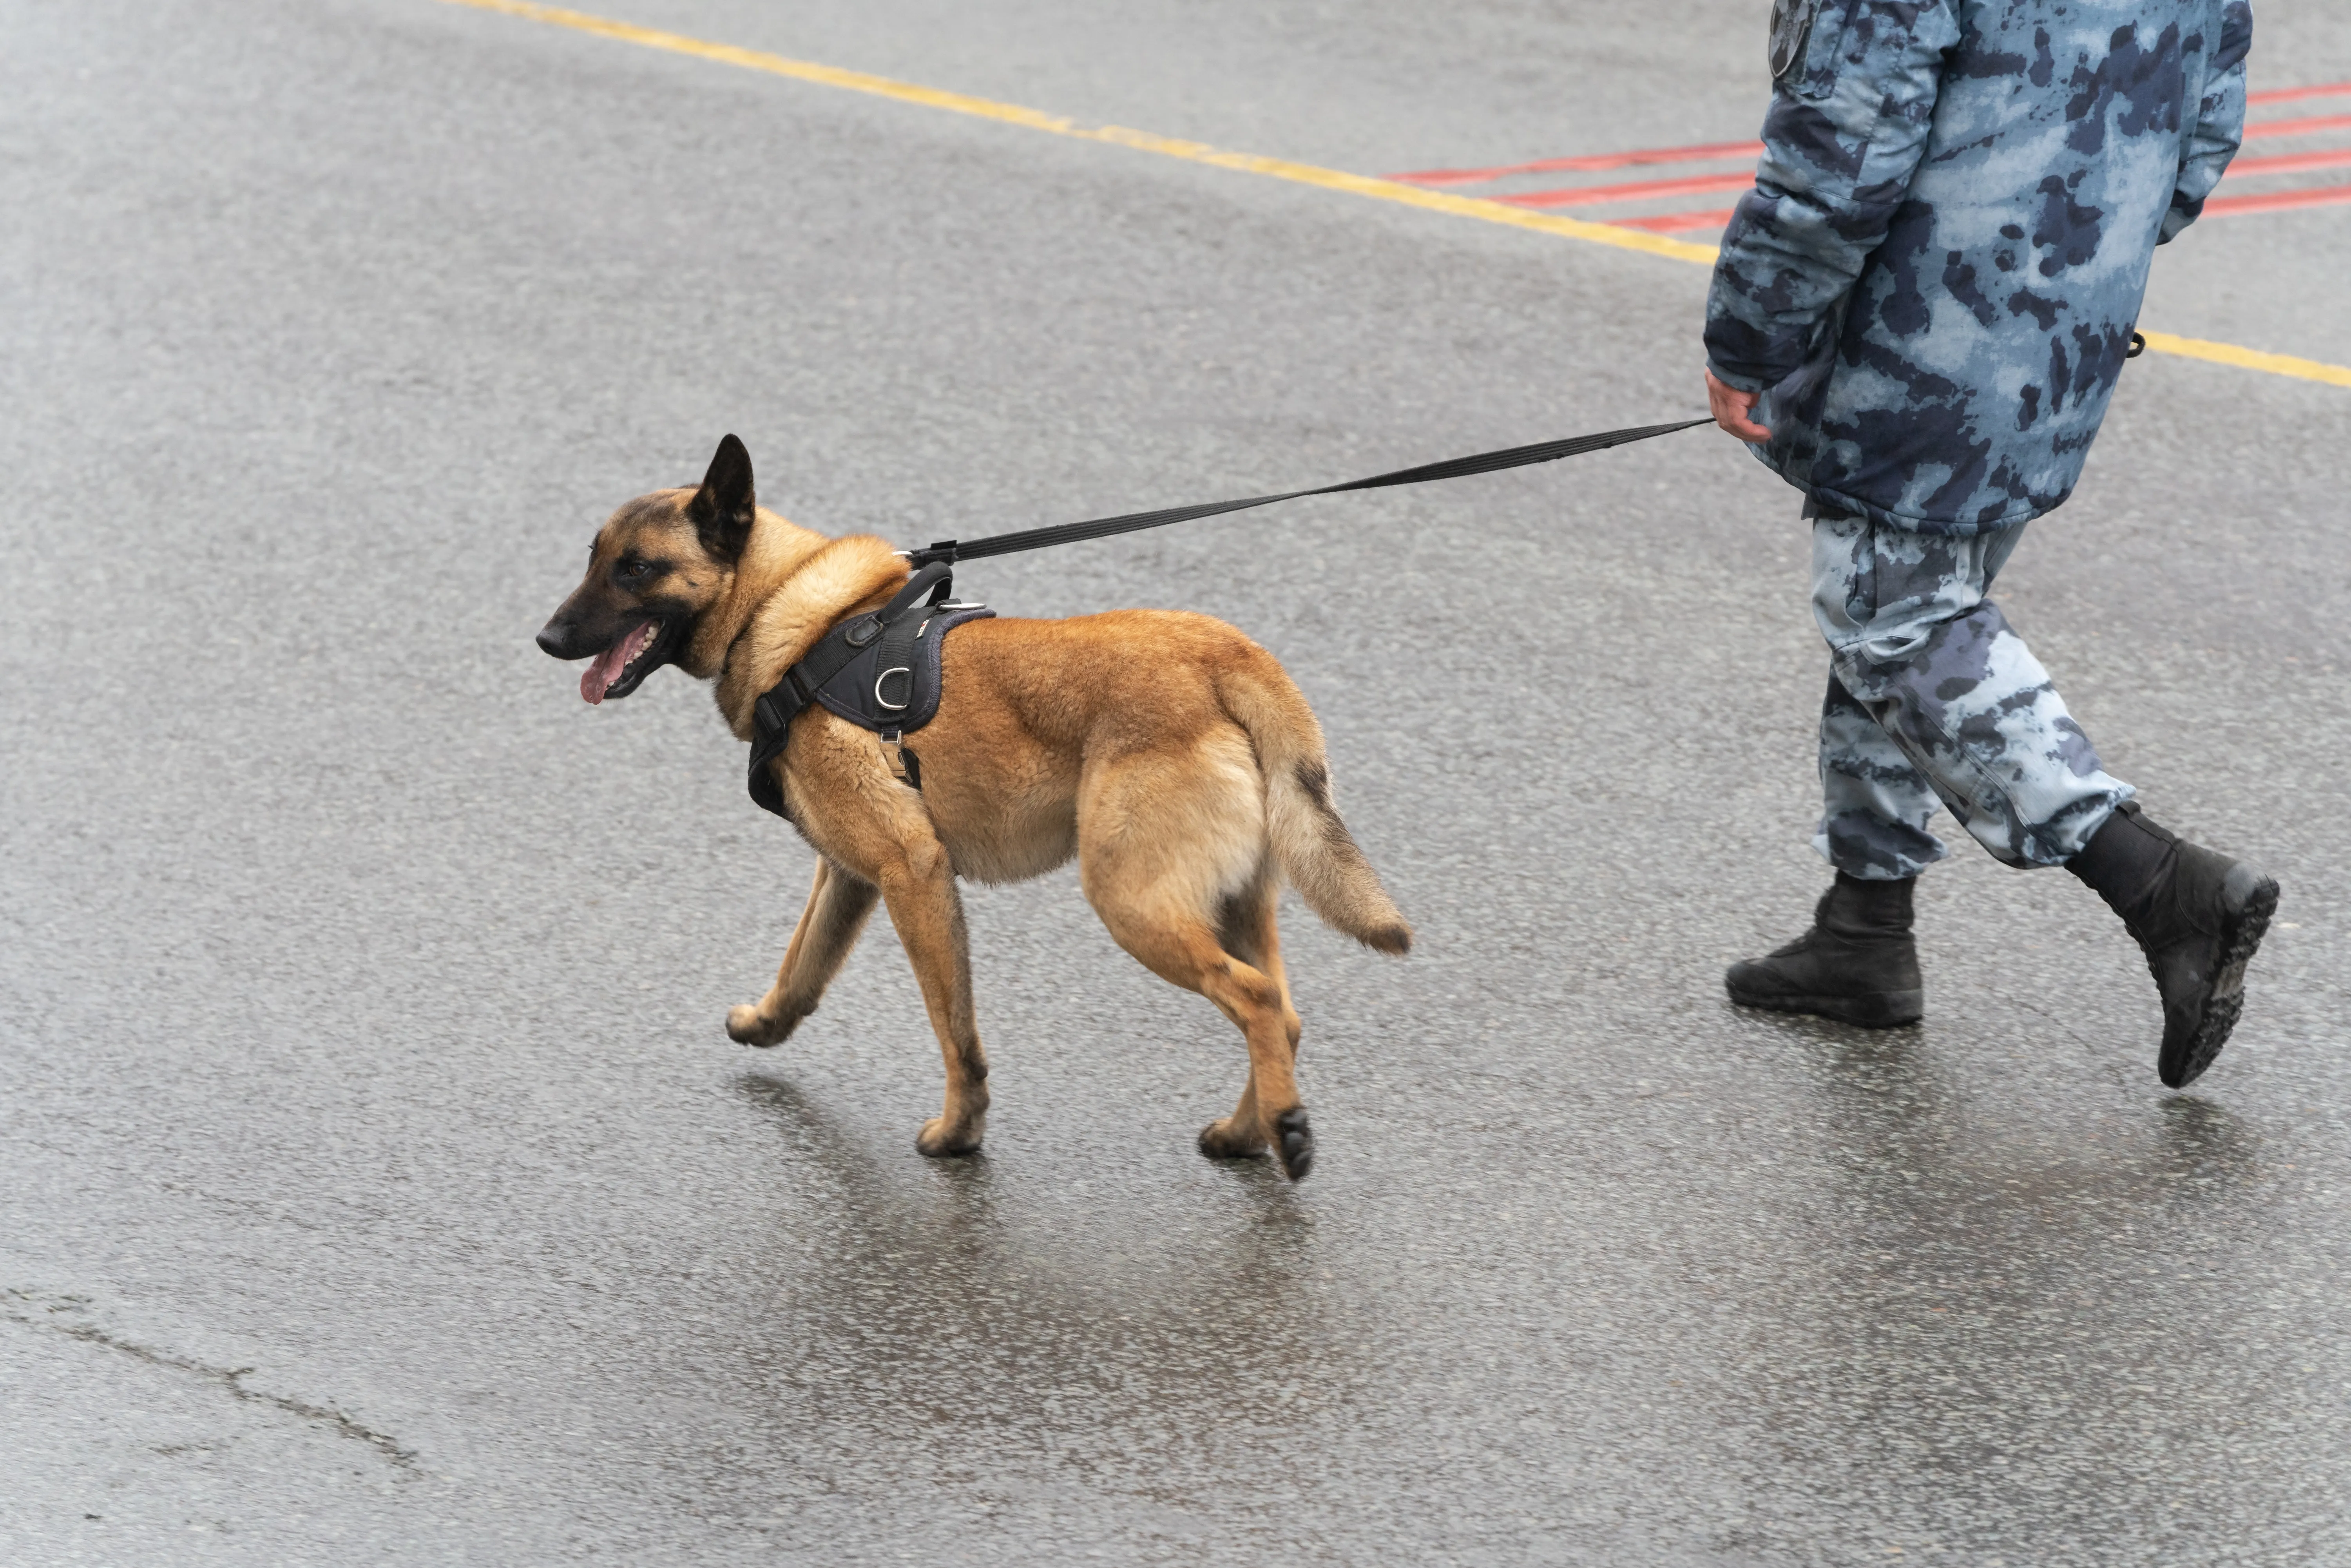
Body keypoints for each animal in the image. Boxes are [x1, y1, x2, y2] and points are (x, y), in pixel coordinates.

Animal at [538, 435, 1411, 1171]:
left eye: (637, 569)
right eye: (594, 558)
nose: (546, 639)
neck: (793, 616)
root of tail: (1226, 654)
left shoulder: (913, 873)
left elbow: (955, 1031)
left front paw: (960, 1134)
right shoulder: (851, 876)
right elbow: (803, 967)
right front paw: (764, 1022)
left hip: (1132, 903)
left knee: (1256, 999)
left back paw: (1282, 1127)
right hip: (1228, 904)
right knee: (1283, 1014)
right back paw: (1251, 1130)